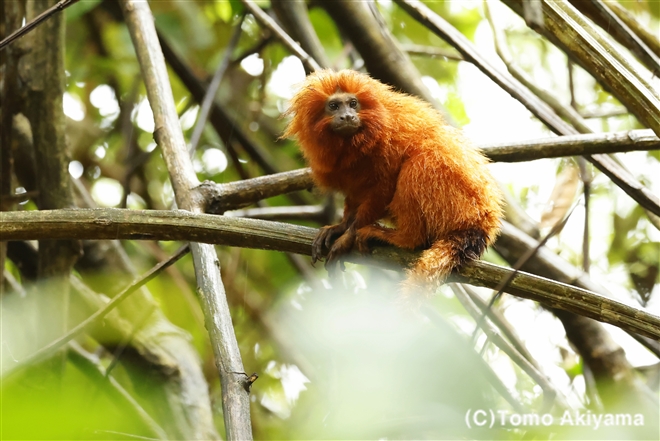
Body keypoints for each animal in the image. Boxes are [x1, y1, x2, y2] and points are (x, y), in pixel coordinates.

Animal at [284, 69, 506, 294]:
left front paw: (348, 236)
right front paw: (341, 226)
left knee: (418, 164)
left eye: (353, 103)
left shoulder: (390, 139)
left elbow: (387, 185)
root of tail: (481, 225)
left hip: (457, 202)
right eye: (334, 106)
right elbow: (356, 195)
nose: (347, 116)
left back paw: (403, 238)